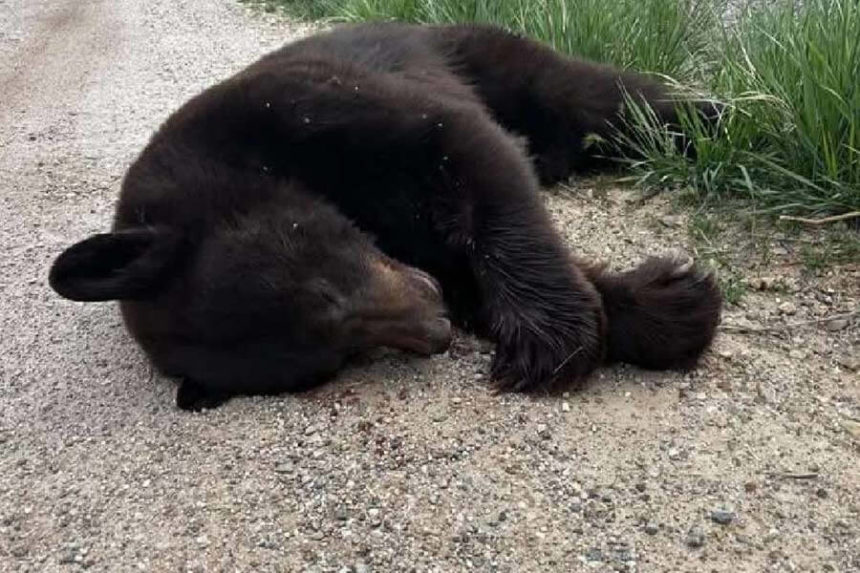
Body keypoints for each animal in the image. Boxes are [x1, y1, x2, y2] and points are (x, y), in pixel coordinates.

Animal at [49, 23, 722, 411]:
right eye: (336, 358)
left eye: (325, 290)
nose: (438, 331)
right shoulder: (409, 249)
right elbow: (464, 263)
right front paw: (667, 305)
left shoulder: (298, 107)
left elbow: (470, 151)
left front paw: (550, 337)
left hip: (480, 55)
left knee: (597, 100)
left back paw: (712, 122)